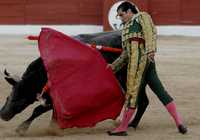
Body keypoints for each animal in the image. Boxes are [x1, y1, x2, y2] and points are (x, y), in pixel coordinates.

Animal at [0, 30, 148, 135]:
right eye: (8, 97)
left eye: (20, 101)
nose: (3, 115)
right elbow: (52, 112)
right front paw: (53, 127)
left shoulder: (54, 98)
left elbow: (38, 110)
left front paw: (21, 129)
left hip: (135, 79)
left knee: (141, 101)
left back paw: (131, 125)